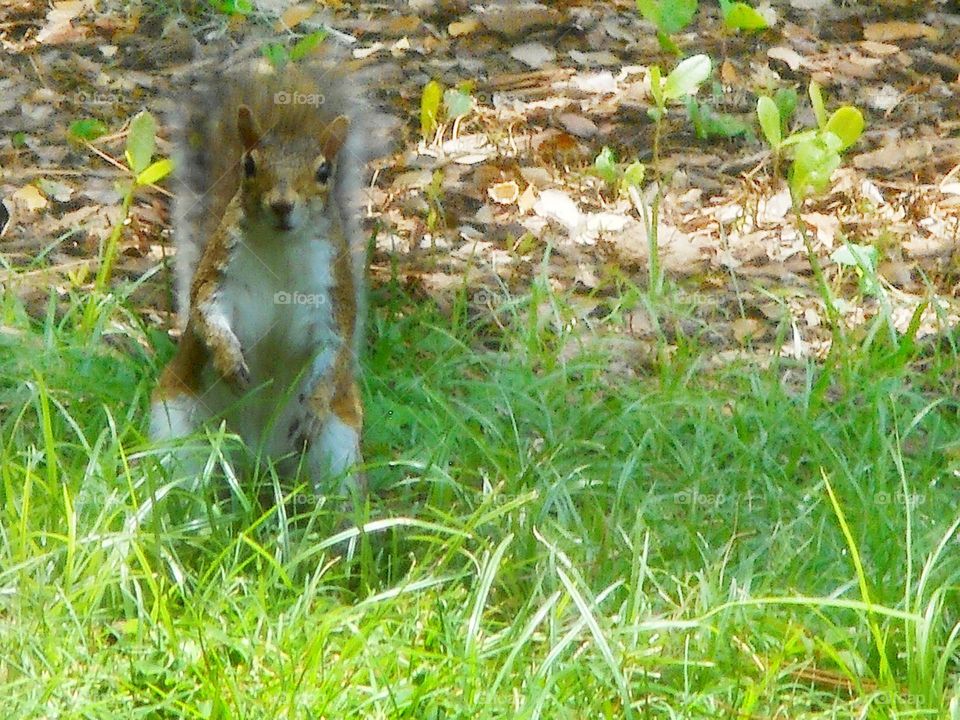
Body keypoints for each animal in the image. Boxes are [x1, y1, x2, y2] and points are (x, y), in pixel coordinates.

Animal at [150, 56, 378, 498]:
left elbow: (334, 350)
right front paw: (229, 359)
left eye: (324, 172)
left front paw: (315, 404)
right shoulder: (218, 274)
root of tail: (257, 463)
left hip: (337, 445)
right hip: (176, 425)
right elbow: (206, 314)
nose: (282, 205)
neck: (280, 249)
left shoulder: (332, 296)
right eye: (249, 164)